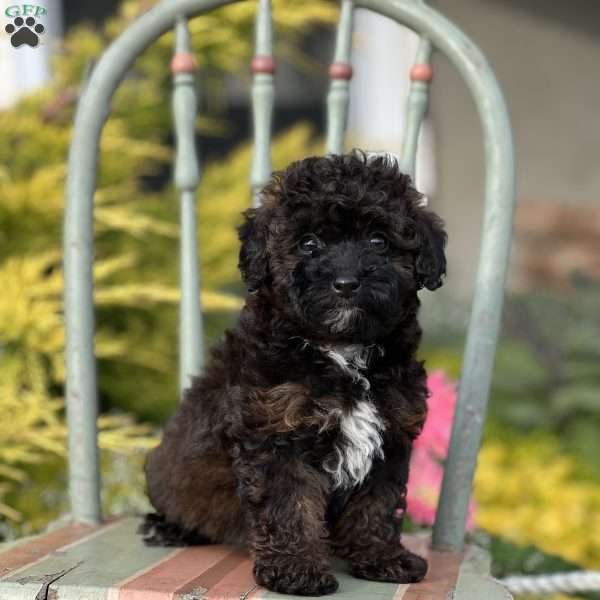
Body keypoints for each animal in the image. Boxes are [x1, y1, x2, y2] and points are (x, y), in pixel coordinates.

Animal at [143, 151, 446, 596]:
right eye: (308, 243)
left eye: (379, 241)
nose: (346, 283)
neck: (339, 349)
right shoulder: (275, 433)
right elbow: (291, 506)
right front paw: (297, 570)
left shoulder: (391, 432)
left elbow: (377, 503)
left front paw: (380, 558)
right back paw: (168, 528)